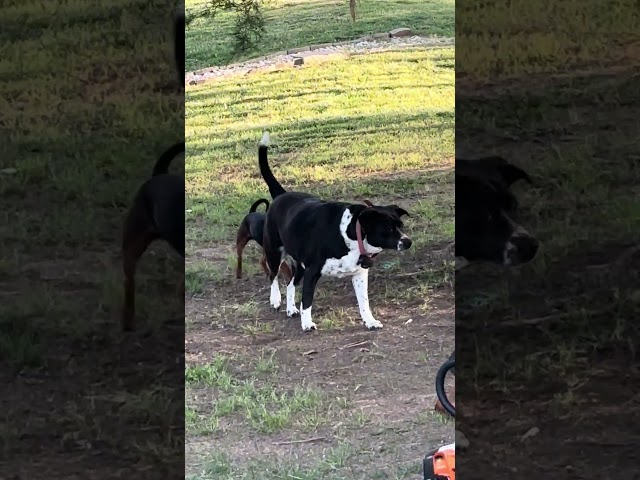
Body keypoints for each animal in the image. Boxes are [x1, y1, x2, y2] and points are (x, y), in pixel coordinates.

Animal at [258, 133, 412, 332]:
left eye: (400, 225)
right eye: (388, 228)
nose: (408, 241)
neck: (350, 234)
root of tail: (281, 194)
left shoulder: (359, 274)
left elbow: (364, 302)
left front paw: (370, 321)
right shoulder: (312, 272)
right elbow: (307, 300)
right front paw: (307, 323)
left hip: (300, 265)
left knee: (291, 283)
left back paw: (291, 308)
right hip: (275, 252)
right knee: (273, 275)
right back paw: (275, 299)